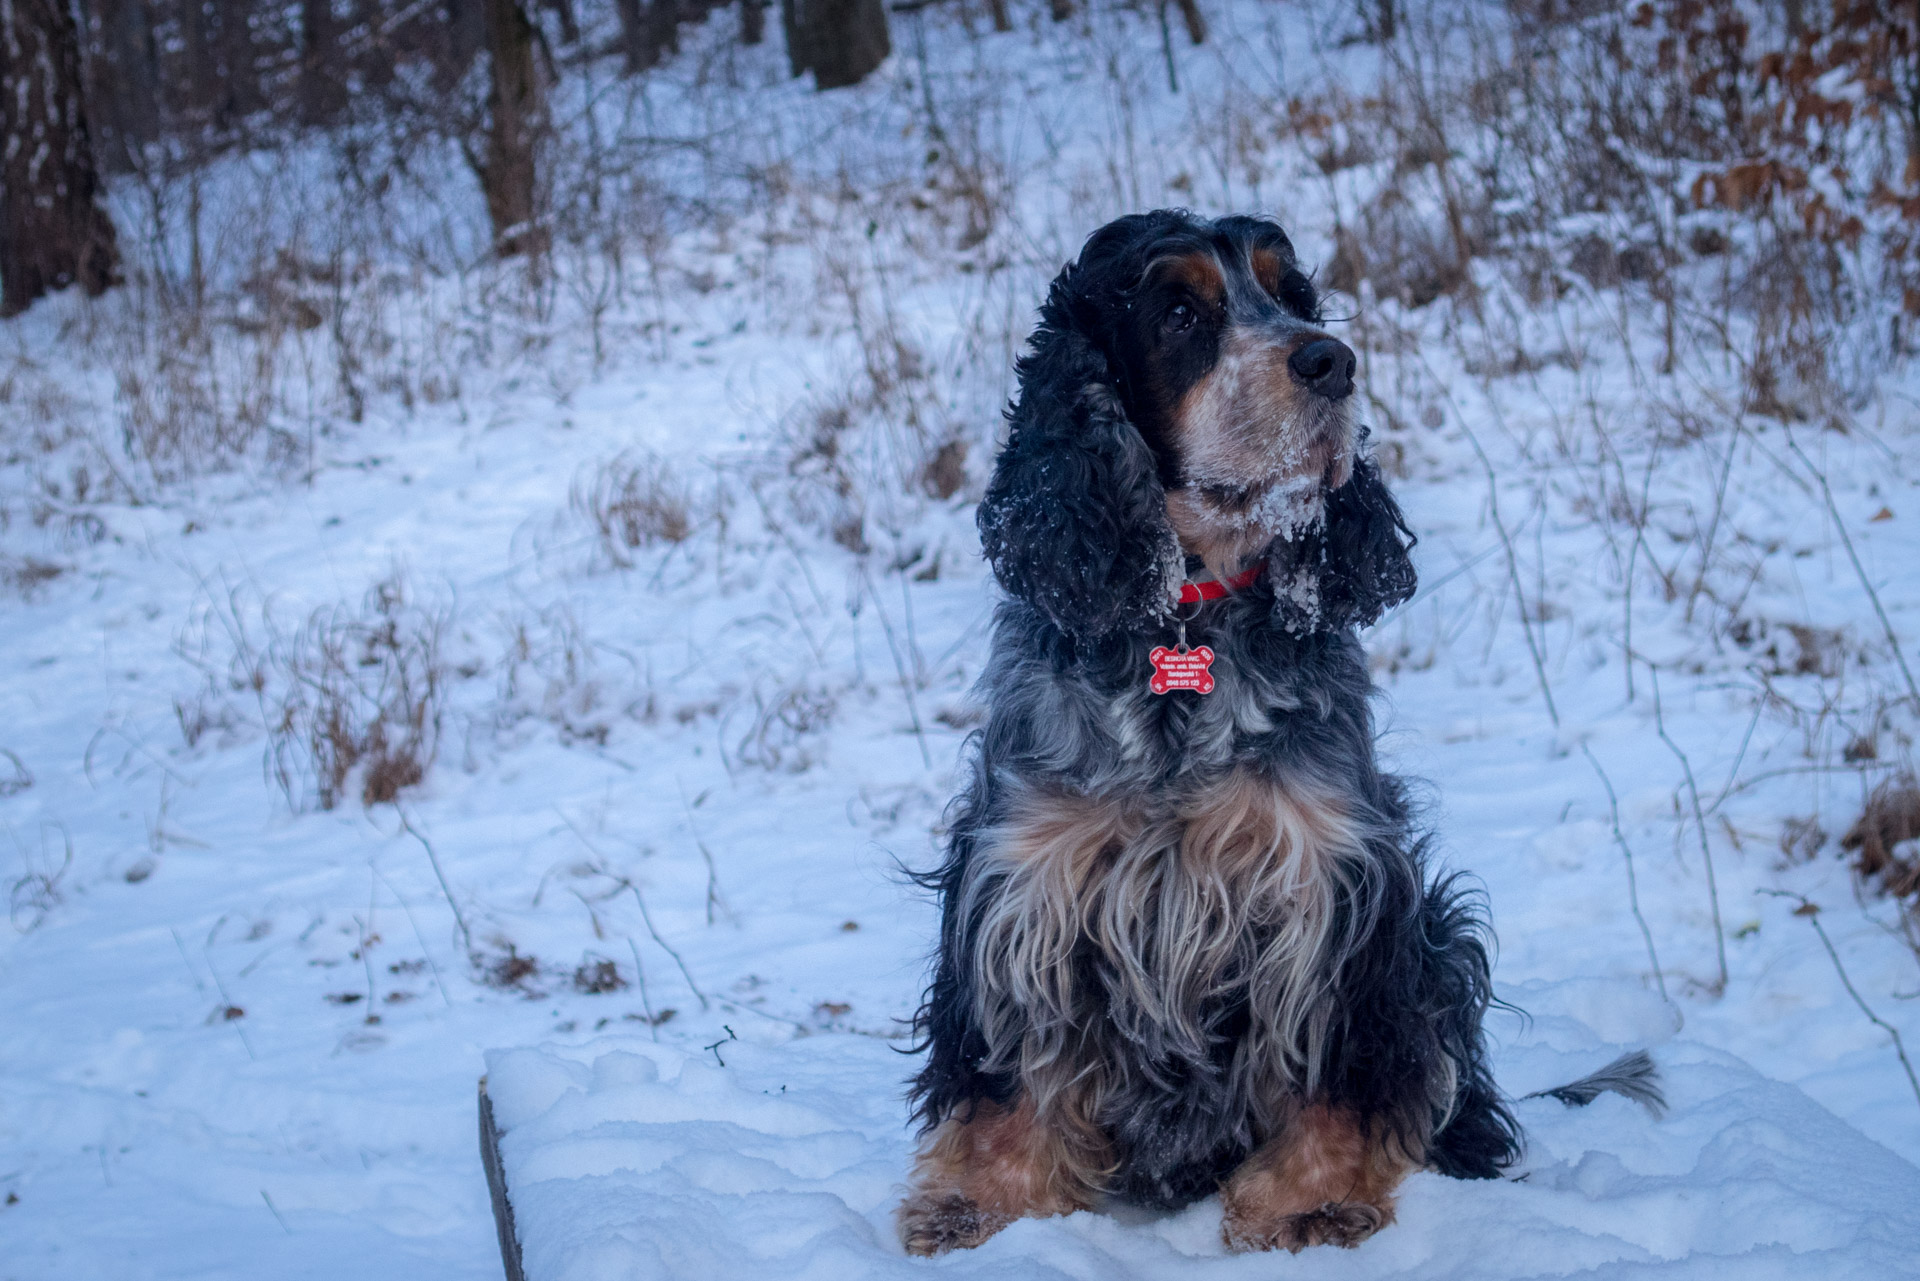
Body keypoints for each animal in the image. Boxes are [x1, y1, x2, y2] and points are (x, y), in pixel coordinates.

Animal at [898, 215, 1528, 1259]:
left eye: (1295, 297)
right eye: (1180, 313)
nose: (1332, 362)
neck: (1187, 608)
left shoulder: (1332, 881)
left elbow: (1331, 1069)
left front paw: (1310, 1203)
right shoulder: (1026, 874)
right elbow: (1012, 1066)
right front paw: (982, 1207)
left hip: (1436, 937)